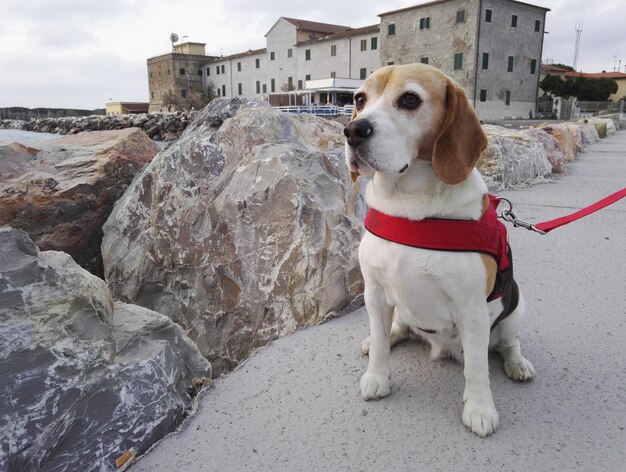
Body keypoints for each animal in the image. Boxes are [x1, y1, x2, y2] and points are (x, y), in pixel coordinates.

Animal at [344, 64, 532, 436]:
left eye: (409, 99)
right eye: (359, 99)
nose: (353, 130)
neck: (409, 205)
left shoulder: (472, 309)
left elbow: (477, 368)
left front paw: (479, 409)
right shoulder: (374, 292)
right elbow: (381, 346)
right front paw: (377, 376)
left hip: (515, 308)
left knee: (506, 343)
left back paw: (518, 363)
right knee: (397, 330)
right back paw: (378, 340)